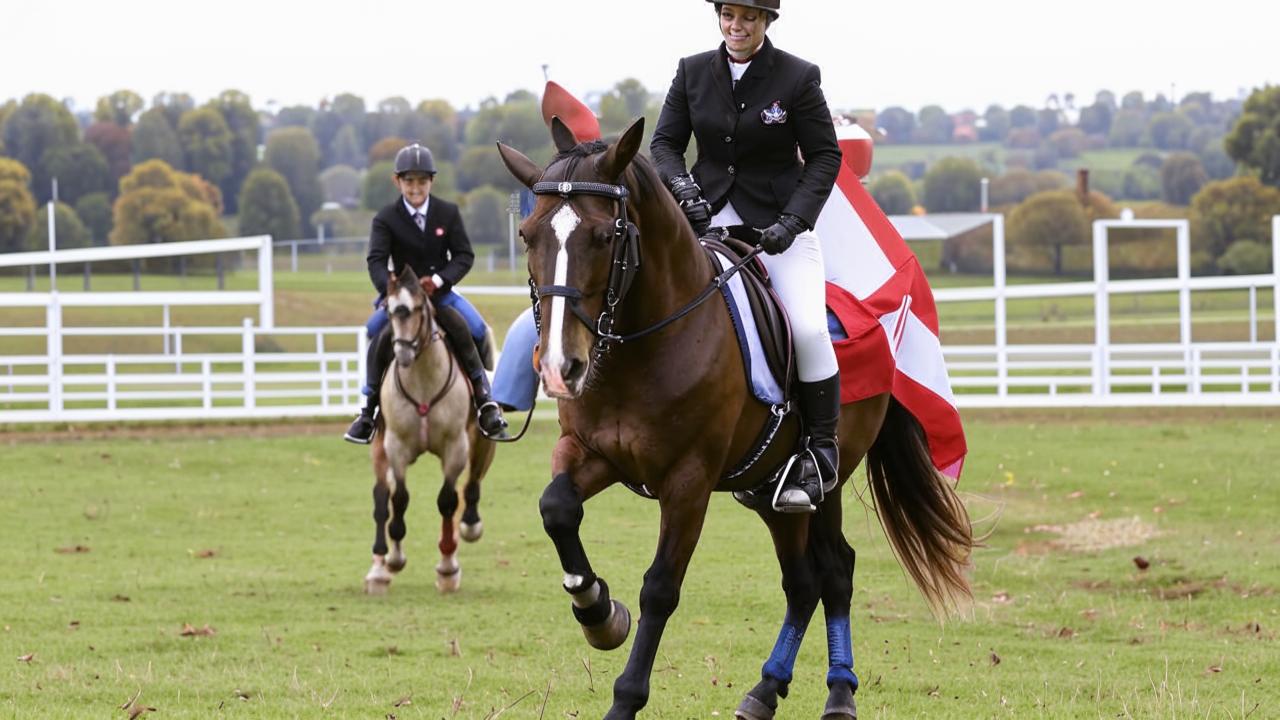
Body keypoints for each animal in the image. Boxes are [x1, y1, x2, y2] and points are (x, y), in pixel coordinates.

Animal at [366, 266, 499, 591]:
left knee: (471, 485)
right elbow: (399, 499)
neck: (423, 381)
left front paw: (448, 567)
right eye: (390, 311)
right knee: (381, 498)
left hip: (480, 442)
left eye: (417, 308)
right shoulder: (396, 448)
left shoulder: (456, 448)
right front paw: (395, 558)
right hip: (380, 448)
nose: (402, 354)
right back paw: (378, 570)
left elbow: (448, 500)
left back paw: (469, 526)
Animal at [496, 117, 967, 717]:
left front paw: (625, 697)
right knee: (802, 582)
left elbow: (660, 588)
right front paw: (599, 613)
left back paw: (839, 693)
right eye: (528, 234)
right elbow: (556, 508)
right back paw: (765, 690)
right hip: (767, 492)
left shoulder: (688, 483)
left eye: (604, 237)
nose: (560, 366)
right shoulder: (590, 452)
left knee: (836, 572)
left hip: (824, 483)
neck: (641, 345)